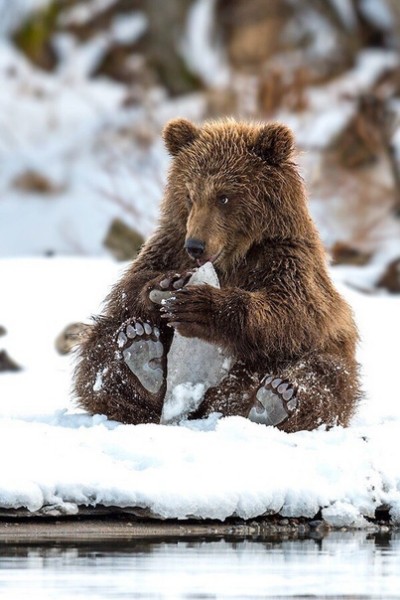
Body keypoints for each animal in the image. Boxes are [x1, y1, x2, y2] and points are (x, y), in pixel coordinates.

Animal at [73, 117, 360, 432]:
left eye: (224, 196)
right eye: (190, 194)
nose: (196, 246)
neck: (231, 256)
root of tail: (217, 401)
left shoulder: (286, 258)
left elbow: (292, 310)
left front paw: (201, 307)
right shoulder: (170, 245)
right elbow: (130, 286)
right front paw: (164, 286)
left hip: (308, 359)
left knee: (327, 376)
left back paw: (275, 400)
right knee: (101, 346)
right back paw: (142, 353)